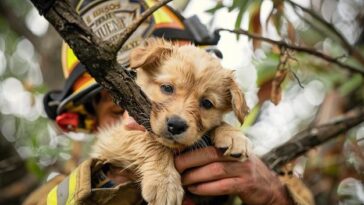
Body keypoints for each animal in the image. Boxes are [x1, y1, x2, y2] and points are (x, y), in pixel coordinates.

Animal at [91, 38, 250, 205]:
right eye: (167, 88)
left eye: (207, 103)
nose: (176, 126)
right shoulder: (113, 138)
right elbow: (149, 140)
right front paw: (164, 182)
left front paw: (233, 135)